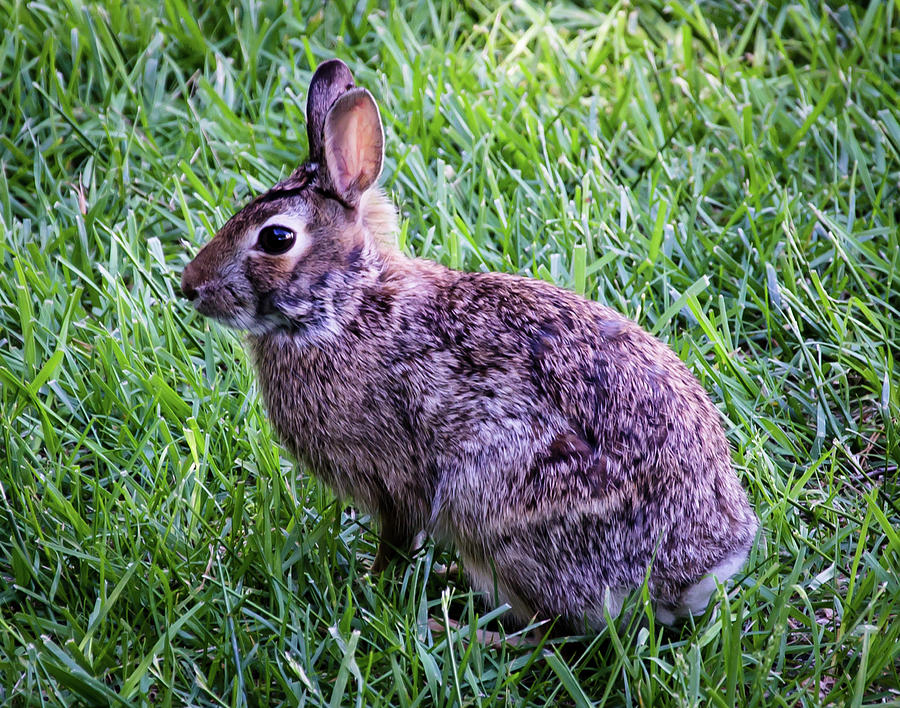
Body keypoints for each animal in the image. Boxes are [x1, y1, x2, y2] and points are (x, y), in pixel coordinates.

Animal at [183, 59, 760, 632]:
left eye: (276, 239)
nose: (190, 286)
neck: (343, 307)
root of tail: (699, 570)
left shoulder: (395, 483)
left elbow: (397, 539)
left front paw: (371, 585)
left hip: (500, 507)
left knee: (554, 628)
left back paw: (463, 630)